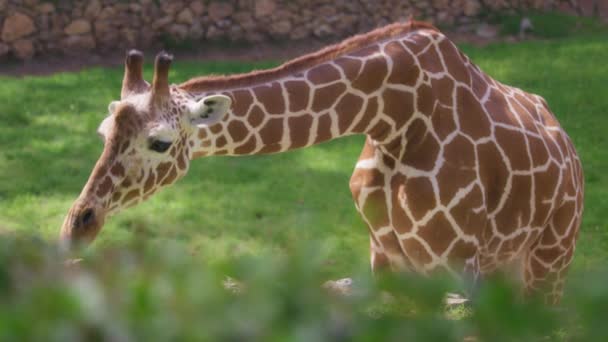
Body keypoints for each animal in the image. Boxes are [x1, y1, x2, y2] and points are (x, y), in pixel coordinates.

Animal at [59, 20, 580, 304]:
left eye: (161, 143)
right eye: (104, 132)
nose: (77, 225)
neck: (395, 117)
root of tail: (570, 149)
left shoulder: (457, 263)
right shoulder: (386, 258)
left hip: (551, 255)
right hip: (505, 266)